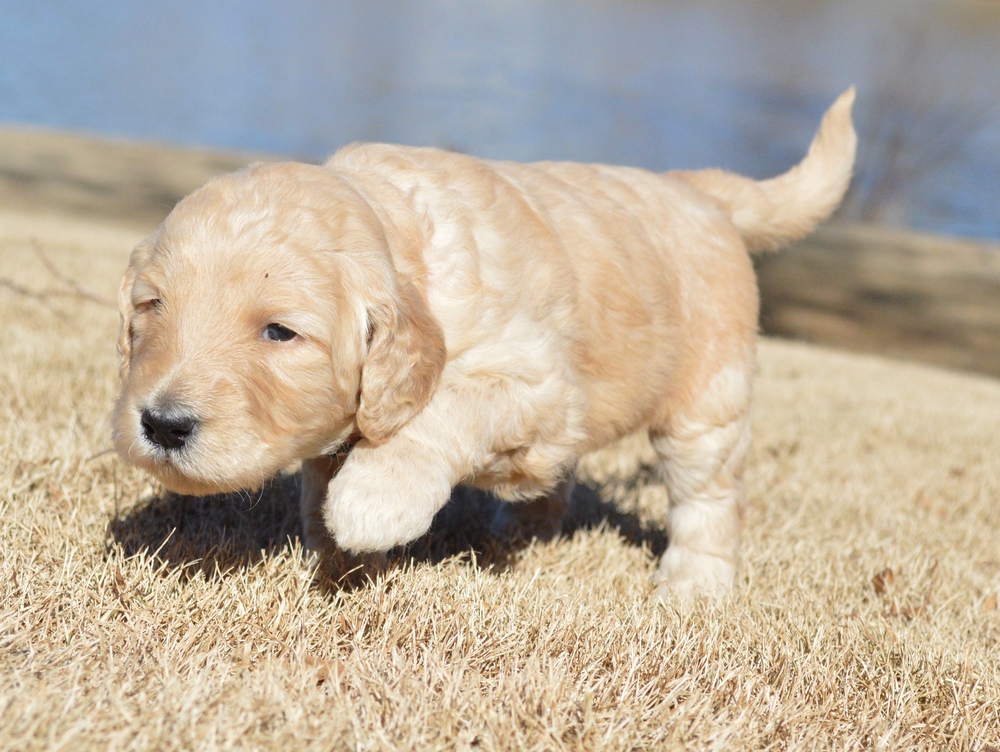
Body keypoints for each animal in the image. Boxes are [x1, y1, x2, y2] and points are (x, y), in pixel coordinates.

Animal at [113, 88, 856, 596]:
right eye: (152, 306)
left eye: (279, 332)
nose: (162, 425)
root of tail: (696, 189)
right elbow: (320, 482)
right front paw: (338, 558)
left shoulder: (537, 386)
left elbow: (442, 411)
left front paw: (373, 499)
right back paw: (520, 530)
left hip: (707, 400)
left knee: (708, 496)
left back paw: (694, 587)